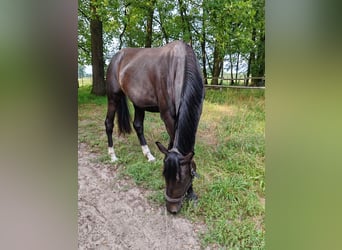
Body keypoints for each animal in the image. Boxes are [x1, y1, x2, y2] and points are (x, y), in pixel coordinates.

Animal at [104, 41, 204, 213]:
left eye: (181, 179)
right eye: (165, 176)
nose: (171, 209)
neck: (179, 64)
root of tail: (117, 57)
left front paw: (191, 195)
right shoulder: (167, 115)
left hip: (138, 102)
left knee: (138, 126)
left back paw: (148, 155)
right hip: (113, 97)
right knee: (108, 123)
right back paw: (113, 155)